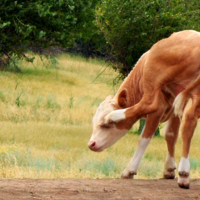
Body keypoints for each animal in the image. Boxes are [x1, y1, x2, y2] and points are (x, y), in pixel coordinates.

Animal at [88, 30, 200, 189]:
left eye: (106, 126)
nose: (91, 144)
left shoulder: (160, 109)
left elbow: (145, 138)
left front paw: (130, 170)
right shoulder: (177, 103)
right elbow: (171, 134)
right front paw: (169, 168)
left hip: (153, 78)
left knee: (149, 104)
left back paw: (112, 115)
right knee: (190, 119)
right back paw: (184, 174)